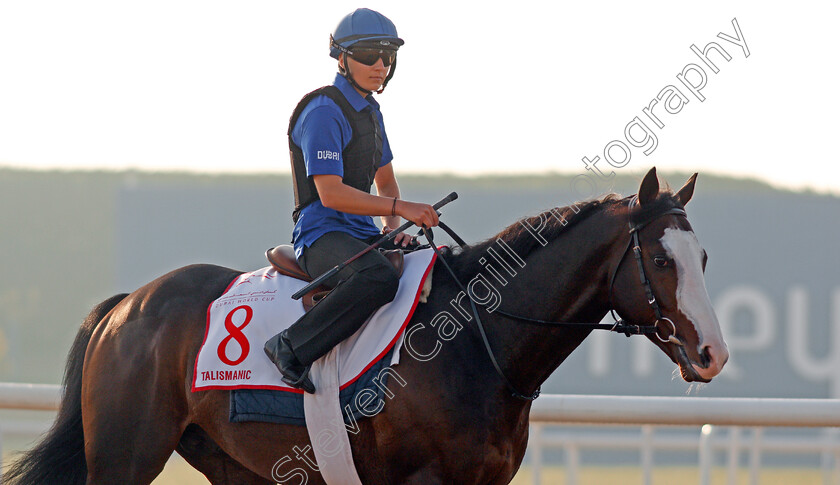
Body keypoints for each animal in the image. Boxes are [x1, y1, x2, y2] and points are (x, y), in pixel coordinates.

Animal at [4, 168, 728, 482]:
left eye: (703, 258)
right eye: (661, 259)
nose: (713, 353)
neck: (479, 342)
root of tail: (127, 304)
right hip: (126, 454)